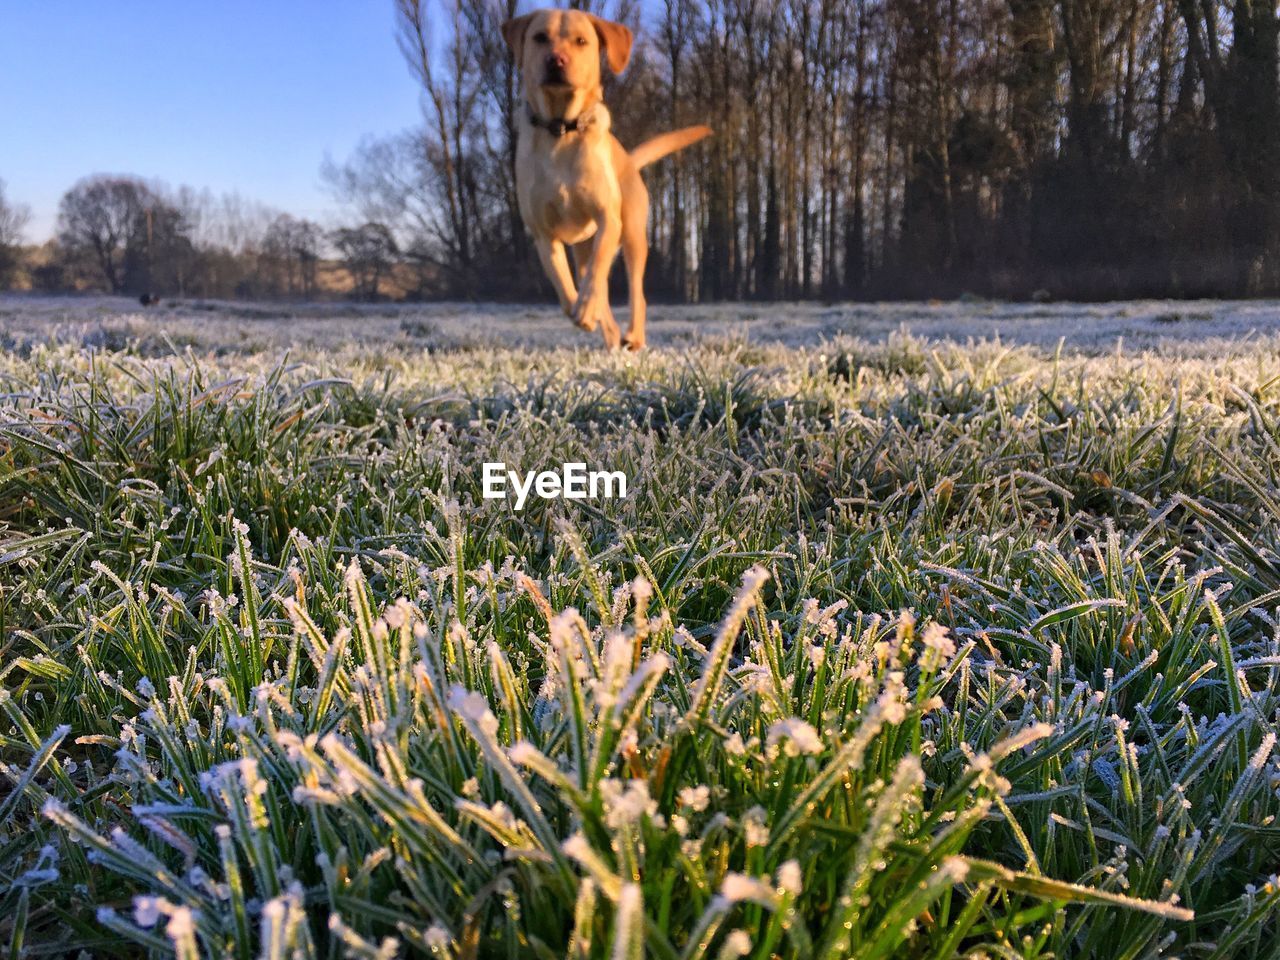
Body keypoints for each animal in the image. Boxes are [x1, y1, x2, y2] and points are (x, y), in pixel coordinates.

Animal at [501, 7, 711, 353]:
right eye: (540, 37)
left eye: (581, 41)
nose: (556, 60)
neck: (562, 128)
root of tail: (629, 160)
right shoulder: (544, 235)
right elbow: (564, 287)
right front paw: (583, 310)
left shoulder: (608, 219)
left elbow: (599, 268)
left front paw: (587, 308)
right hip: (583, 246)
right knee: (594, 282)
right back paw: (609, 332)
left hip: (634, 237)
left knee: (635, 292)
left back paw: (633, 336)